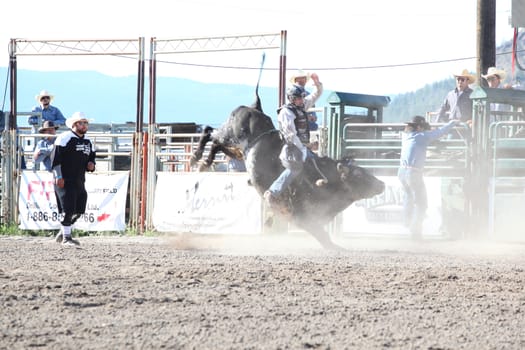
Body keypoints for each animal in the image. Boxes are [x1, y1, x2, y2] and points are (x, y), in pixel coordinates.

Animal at [190, 97, 382, 249]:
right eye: (358, 174)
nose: (382, 184)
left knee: (216, 143)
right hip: (230, 133)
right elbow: (322, 235)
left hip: (236, 148)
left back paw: (205, 162)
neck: (322, 180)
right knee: (209, 131)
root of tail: (254, 108)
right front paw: (337, 247)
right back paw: (196, 156)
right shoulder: (302, 217)